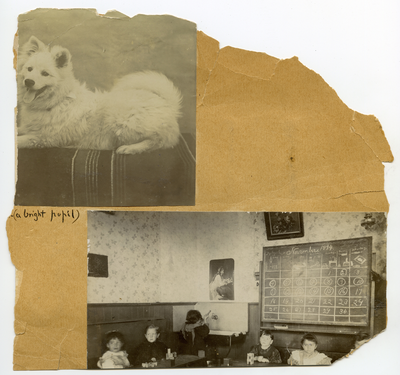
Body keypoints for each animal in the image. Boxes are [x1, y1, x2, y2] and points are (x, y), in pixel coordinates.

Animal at [17, 36, 182, 154]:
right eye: (29, 69)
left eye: (45, 73)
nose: (29, 82)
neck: (57, 101)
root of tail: (168, 104)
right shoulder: (29, 129)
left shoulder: (44, 138)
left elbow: (19, 140)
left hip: (122, 123)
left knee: (158, 141)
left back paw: (130, 148)